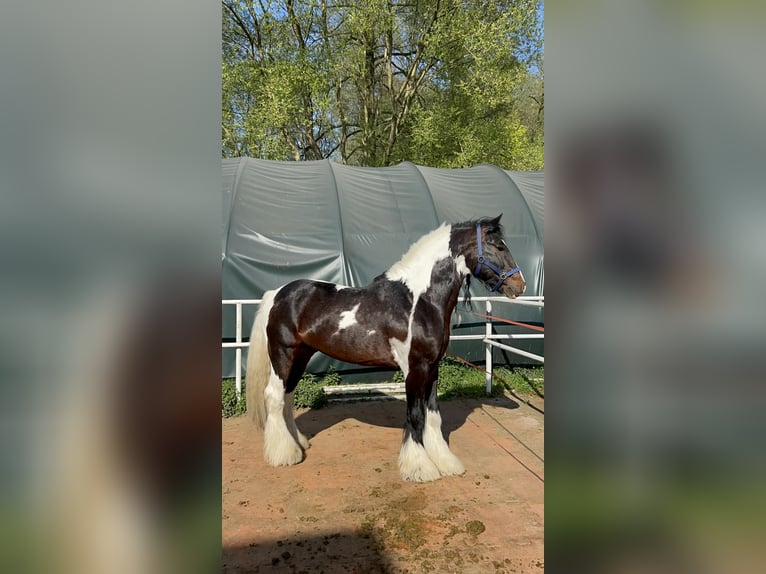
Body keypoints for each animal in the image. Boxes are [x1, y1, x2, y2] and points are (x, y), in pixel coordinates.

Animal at [245, 214, 526, 482]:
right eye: (499, 246)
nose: (519, 285)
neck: (417, 302)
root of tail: (278, 294)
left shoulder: (433, 367)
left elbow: (433, 416)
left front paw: (446, 462)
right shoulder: (415, 369)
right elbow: (415, 415)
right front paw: (420, 468)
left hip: (300, 356)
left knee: (287, 398)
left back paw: (298, 444)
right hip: (283, 355)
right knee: (274, 396)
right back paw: (284, 454)